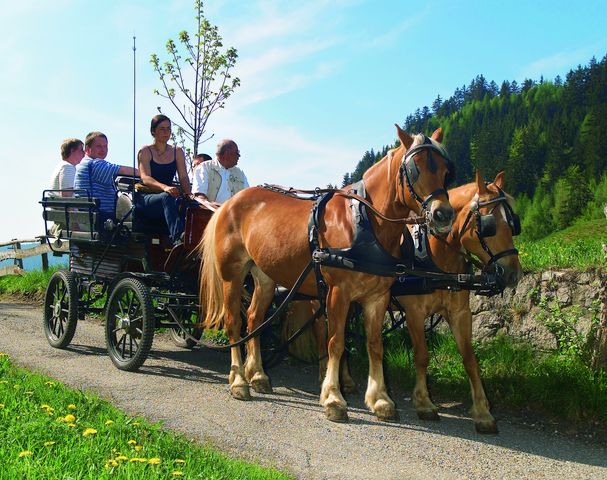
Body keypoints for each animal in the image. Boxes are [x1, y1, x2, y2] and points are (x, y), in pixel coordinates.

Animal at [202, 125, 454, 422]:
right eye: (415, 168)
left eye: (445, 170)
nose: (443, 215)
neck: (365, 223)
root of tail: (229, 203)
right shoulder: (338, 294)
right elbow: (336, 343)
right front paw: (334, 398)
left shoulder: (377, 297)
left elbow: (375, 345)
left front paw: (380, 400)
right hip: (232, 275)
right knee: (234, 323)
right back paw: (239, 381)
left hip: (264, 277)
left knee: (254, 319)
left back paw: (259, 375)